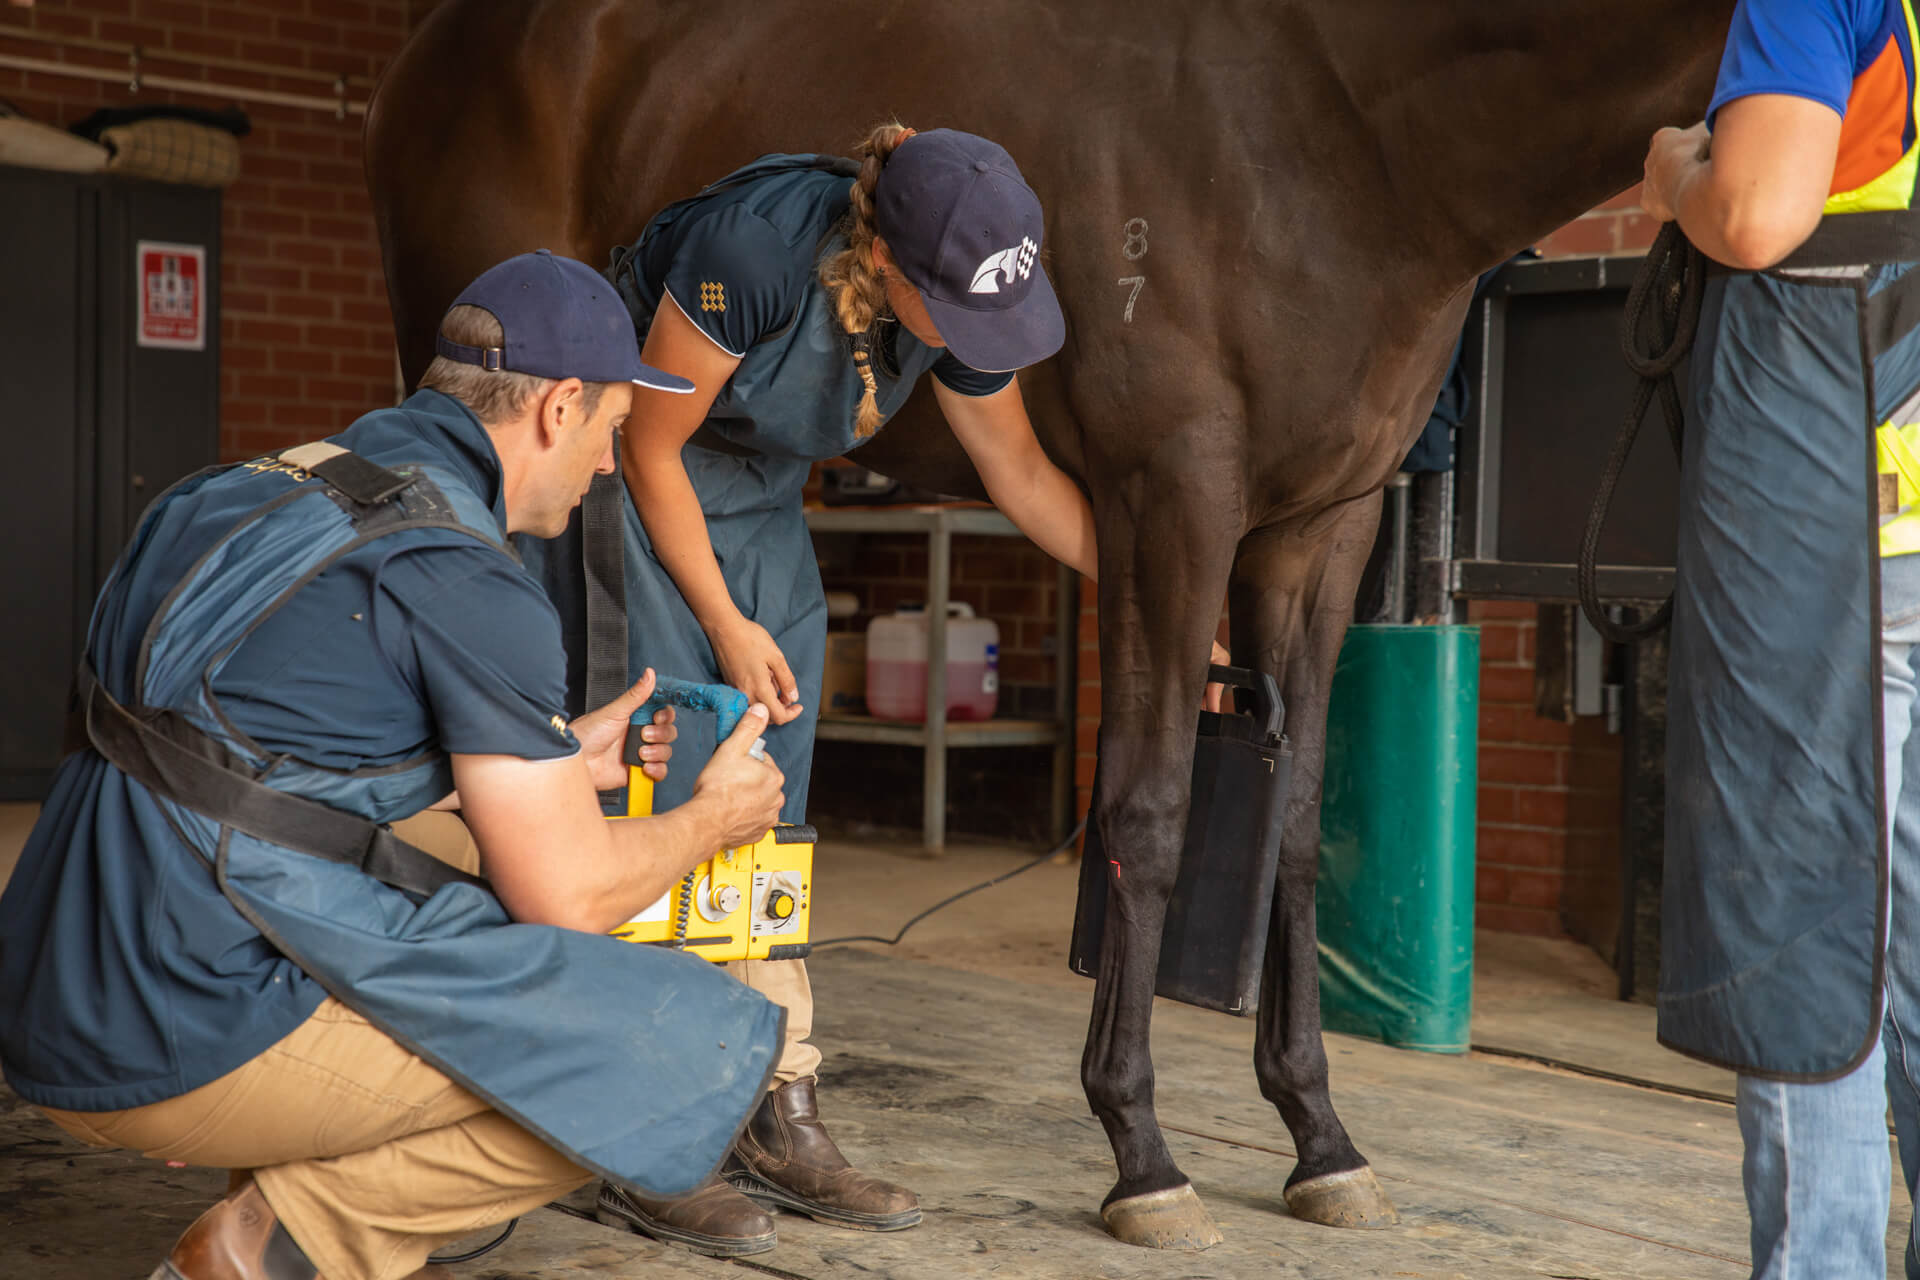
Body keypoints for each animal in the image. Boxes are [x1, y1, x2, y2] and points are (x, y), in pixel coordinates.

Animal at [364, 0, 1735, 1249]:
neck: (1340, 132)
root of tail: (429, 50)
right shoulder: (1170, 499)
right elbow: (1147, 810)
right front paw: (1143, 1154)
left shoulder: (1323, 525)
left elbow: (1294, 826)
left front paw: (1322, 1139)